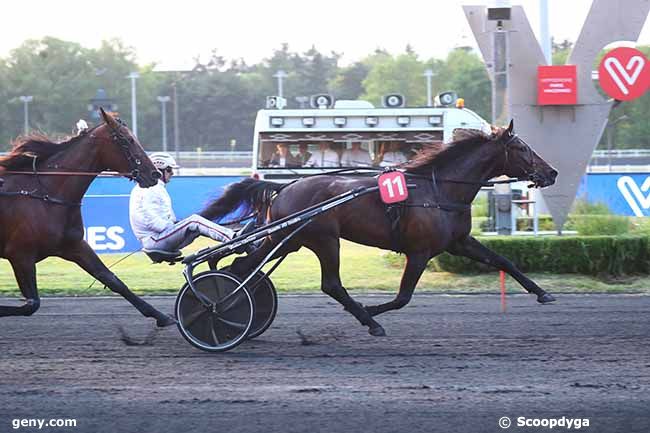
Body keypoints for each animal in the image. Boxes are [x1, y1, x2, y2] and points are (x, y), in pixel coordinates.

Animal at [0, 109, 175, 326]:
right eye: (127, 140)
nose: (154, 174)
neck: (44, 193)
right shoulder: (20, 255)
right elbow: (31, 304)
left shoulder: (75, 245)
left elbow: (111, 279)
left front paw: (162, 316)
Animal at [201, 120, 556, 334]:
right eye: (522, 148)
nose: (551, 172)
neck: (438, 190)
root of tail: (285, 187)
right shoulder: (420, 251)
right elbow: (402, 297)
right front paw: (371, 309)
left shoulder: (458, 242)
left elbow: (504, 260)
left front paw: (543, 293)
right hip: (324, 240)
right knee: (330, 284)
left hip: (288, 239)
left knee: (241, 266)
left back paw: (226, 307)